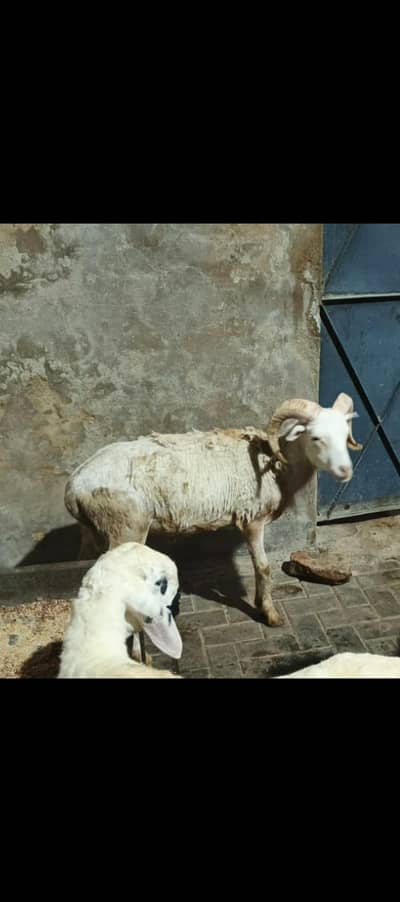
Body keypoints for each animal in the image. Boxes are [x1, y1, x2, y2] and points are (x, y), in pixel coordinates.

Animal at [64, 392, 362, 628]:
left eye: (345, 435)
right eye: (316, 437)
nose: (346, 471)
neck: (278, 461)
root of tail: (74, 485)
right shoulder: (252, 520)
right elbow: (263, 567)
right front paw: (270, 614)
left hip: (93, 530)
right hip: (126, 527)